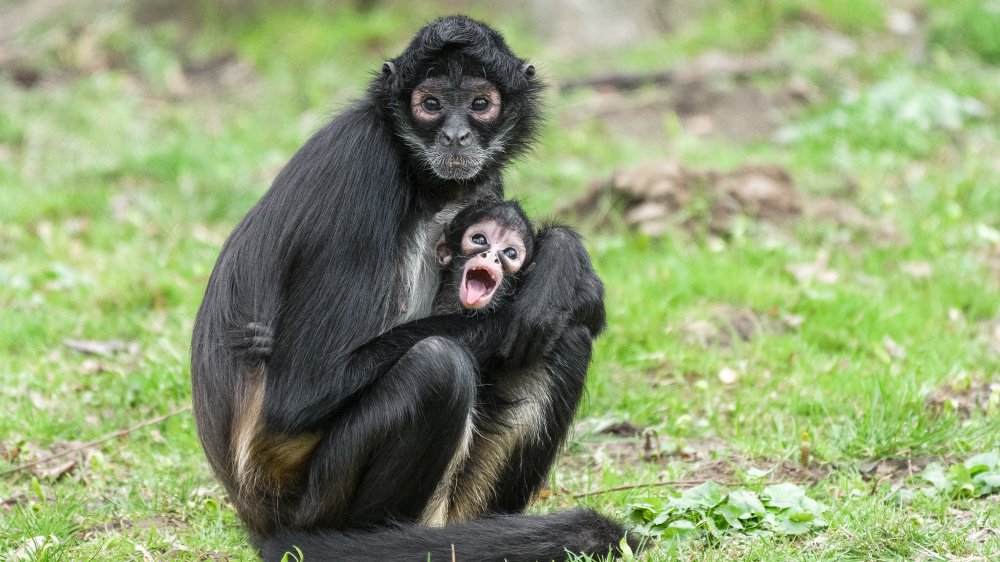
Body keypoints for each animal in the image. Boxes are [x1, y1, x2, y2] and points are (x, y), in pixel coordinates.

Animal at [189, 15, 632, 556]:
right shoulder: (362, 164)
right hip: (307, 496)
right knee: (439, 365)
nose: (456, 135)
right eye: (431, 104)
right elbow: (303, 393)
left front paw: (561, 263)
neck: (428, 185)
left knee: (562, 338)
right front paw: (560, 287)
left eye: (480, 104)